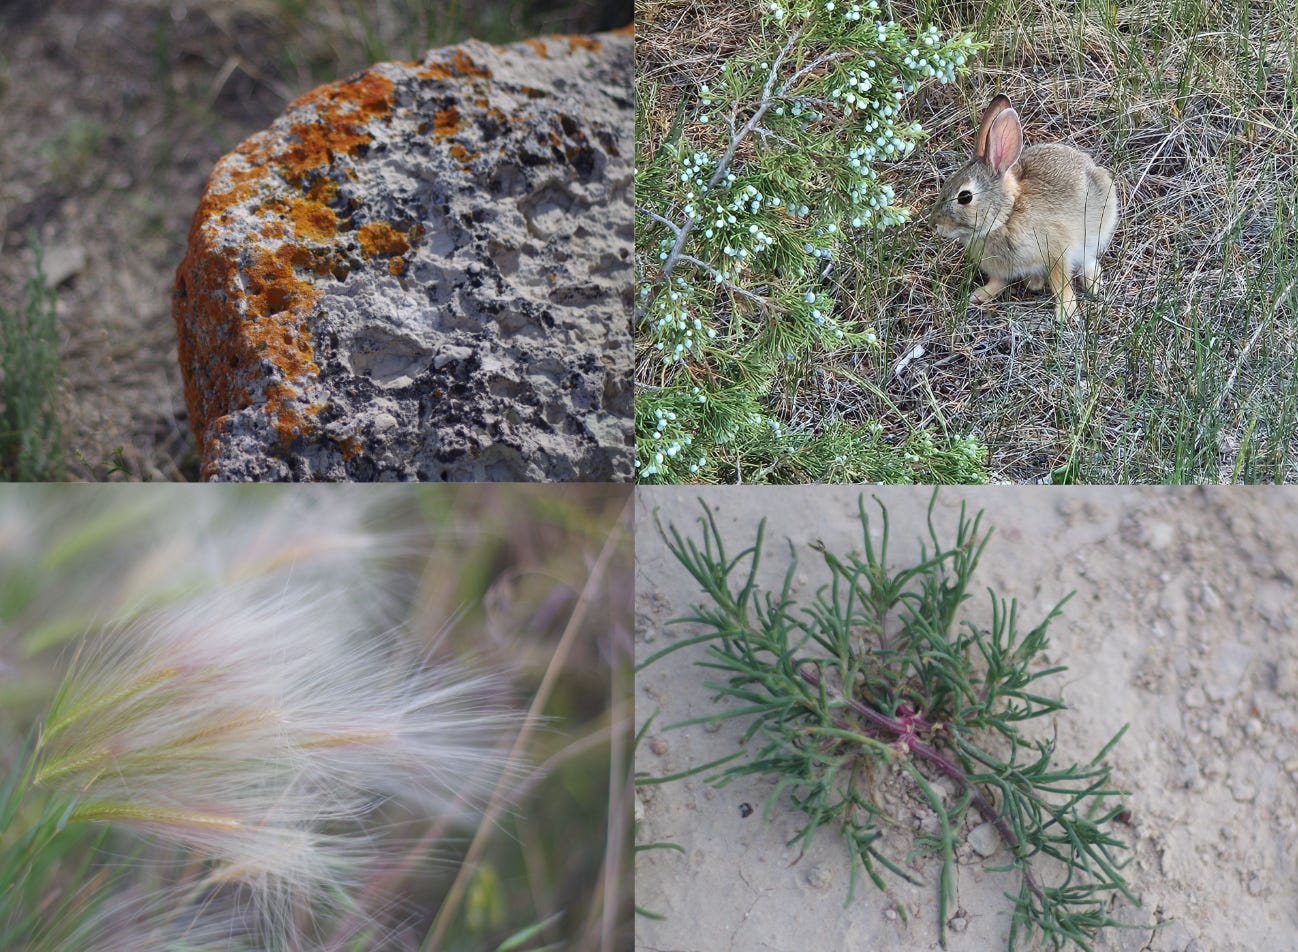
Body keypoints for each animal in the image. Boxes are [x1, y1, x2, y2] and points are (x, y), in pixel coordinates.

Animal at [930, 95, 1119, 319]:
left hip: (1097, 231)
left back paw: (1093, 286)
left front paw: (1066, 313)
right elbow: (998, 282)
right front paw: (979, 296)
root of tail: (1091, 166)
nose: (936, 225)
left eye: (965, 197)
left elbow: (1061, 284)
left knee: (1089, 260)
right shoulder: (1000, 269)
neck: (1006, 216)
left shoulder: (1056, 252)